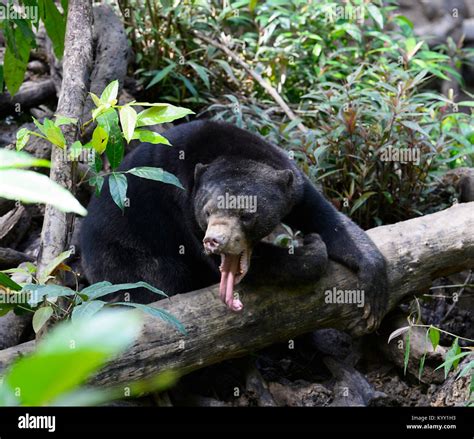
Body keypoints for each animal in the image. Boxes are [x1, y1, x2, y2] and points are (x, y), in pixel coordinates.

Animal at [79, 120, 386, 330]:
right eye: (207, 212)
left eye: (247, 214)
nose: (214, 240)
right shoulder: (182, 207)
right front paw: (310, 248)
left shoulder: (294, 184)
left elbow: (326, 217)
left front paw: (374, 291)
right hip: (122, 258)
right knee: (154, 282)